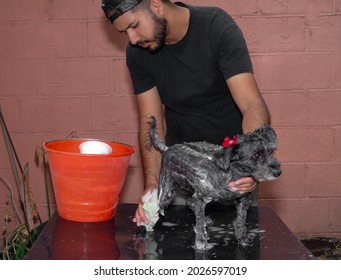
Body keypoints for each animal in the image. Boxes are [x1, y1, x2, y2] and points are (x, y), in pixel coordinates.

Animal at [147, 115, 280, 249]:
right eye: (256, 155)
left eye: (271, 151)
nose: (278, 172)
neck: (229, 174)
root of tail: (168, 148)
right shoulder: (200, 198)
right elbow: (200, 223)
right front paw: (201, 242)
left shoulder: (243, 199)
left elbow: (241, 221)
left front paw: (242, 238)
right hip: (166, 190)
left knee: (190, 202)